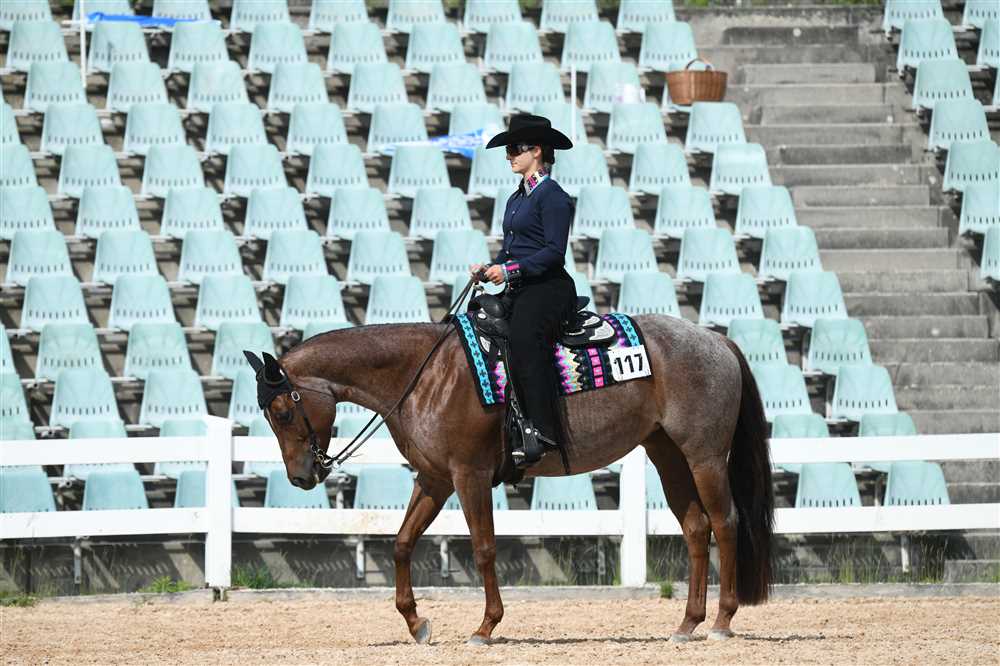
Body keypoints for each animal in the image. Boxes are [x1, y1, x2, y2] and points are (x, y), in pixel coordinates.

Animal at [244, 312, 774, 645]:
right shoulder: (434, 479)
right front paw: (417, 624)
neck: (425, 375)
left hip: (705, 455)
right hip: (667, 455)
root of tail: (716, 340)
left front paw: (485, 628)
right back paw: (686, 624)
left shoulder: (469, 475)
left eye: (281, 412)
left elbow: (483, 548)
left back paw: (722, 620)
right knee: (696, 529)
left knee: (725, 522)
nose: (301, 477)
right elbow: (401, 542)